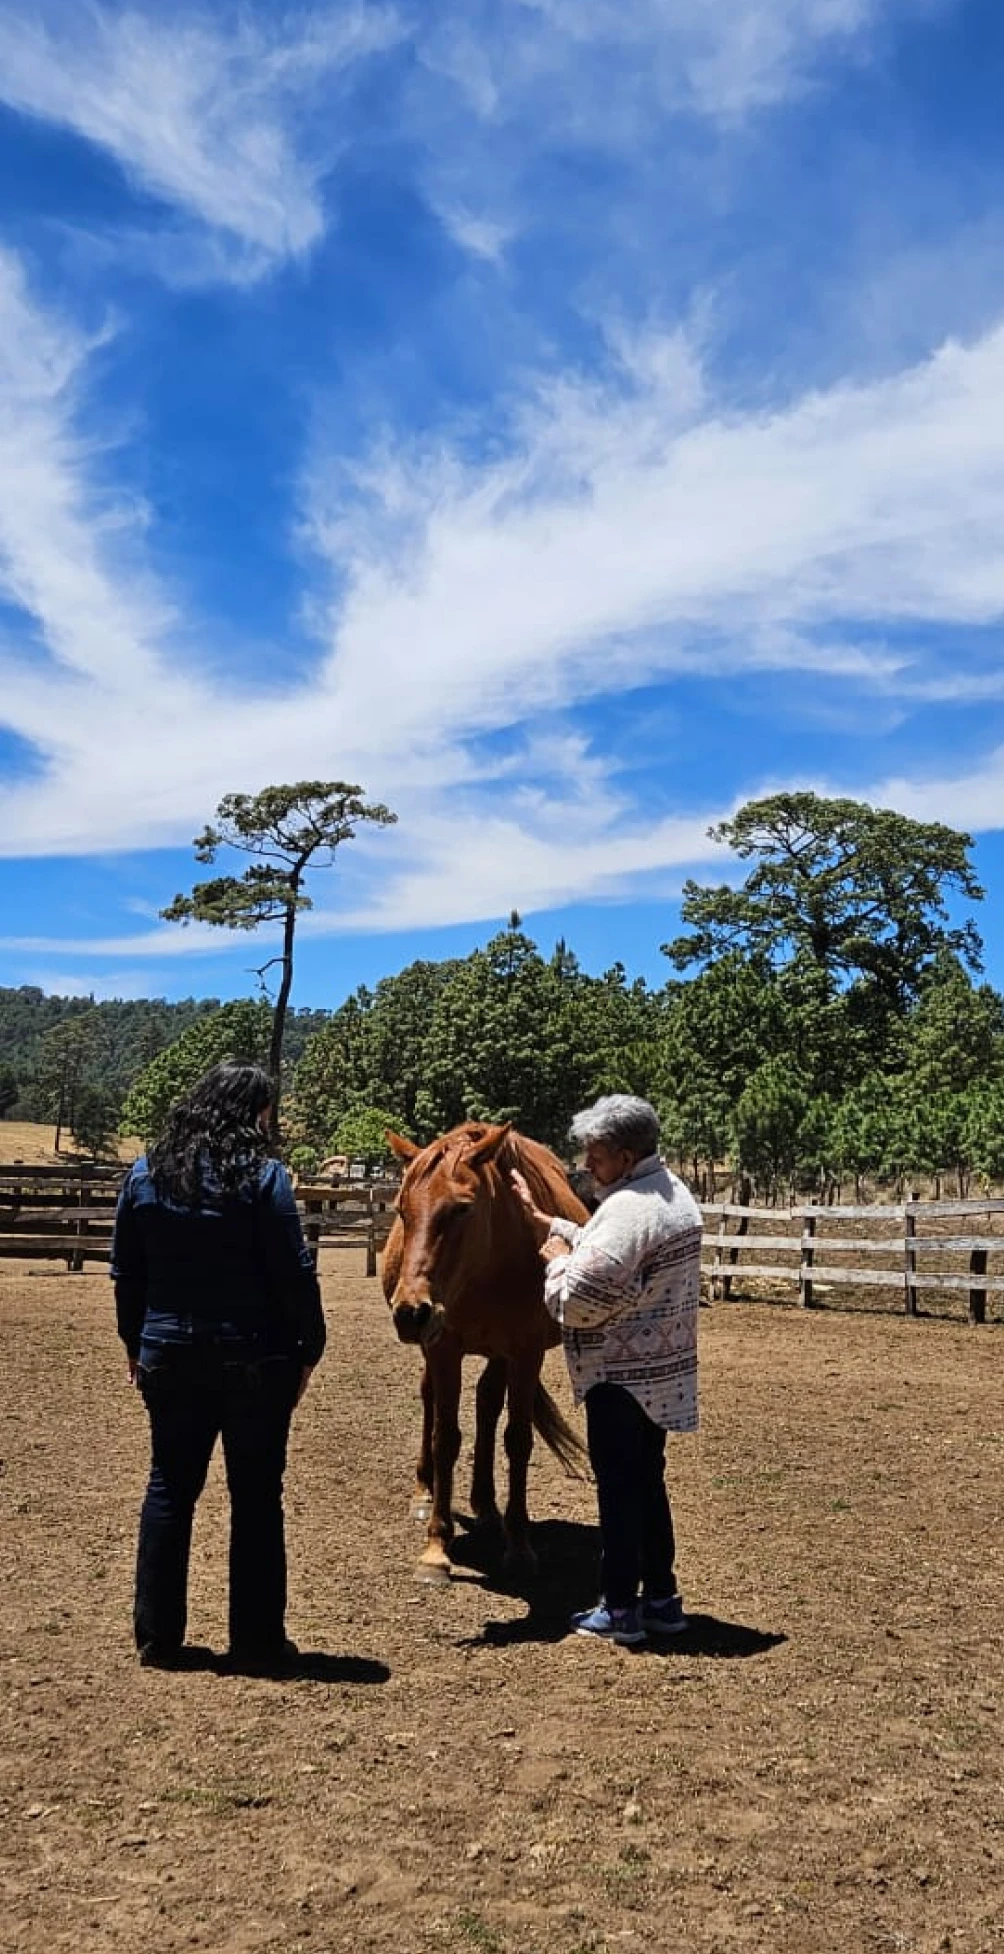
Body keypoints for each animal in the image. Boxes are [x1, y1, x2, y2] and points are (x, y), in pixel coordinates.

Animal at [380, 1125, 585, 1578]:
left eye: (461, 1209)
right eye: (402, 1209)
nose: (411, 1312)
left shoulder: (525, 1353)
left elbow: (518, 1440)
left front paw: (519, 1544)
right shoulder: (443, 1348)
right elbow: (445, 1438)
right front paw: (436, 1548)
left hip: (499, 1355)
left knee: (488, 1403)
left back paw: (488, 1505)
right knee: (431, 1399)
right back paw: (425, 1491)